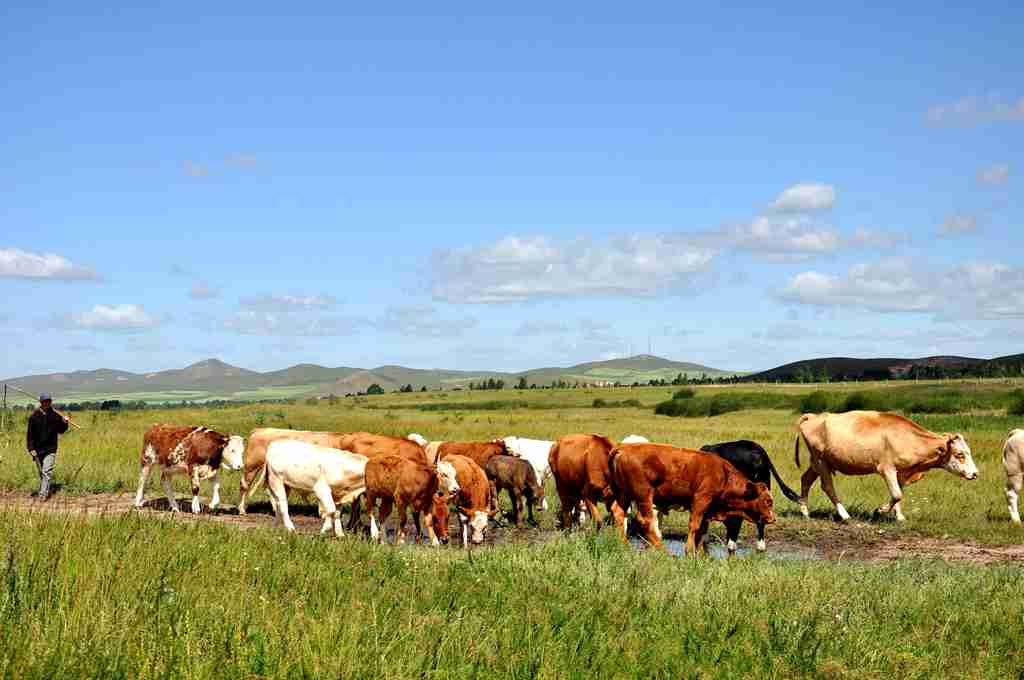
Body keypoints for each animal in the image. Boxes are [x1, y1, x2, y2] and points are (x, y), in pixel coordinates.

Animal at [606, 440, 774, 557]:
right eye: (768, 501)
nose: (773, 518)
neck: (724, 474)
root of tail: (623, 448)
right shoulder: (701, 500)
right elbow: (694, 526)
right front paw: (689, 551)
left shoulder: (708, 508)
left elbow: (701, 529)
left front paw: (700, 553)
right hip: (644, 495)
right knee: (645, 521)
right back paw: (664, 552)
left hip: (623, 494)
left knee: (619, 513)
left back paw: (624, 545)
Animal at [794, 409, 978, 520]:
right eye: (959, 454)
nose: (975, 474)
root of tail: (814, 416)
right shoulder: (887, 469)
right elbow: (897, 494)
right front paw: (880, 510)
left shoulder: (902, 472)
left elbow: (899, 493)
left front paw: (899, 516)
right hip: (820, 462)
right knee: (827, 486)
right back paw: (844, 514)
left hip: (819, 463)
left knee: (806, 479)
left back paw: (805, 511)